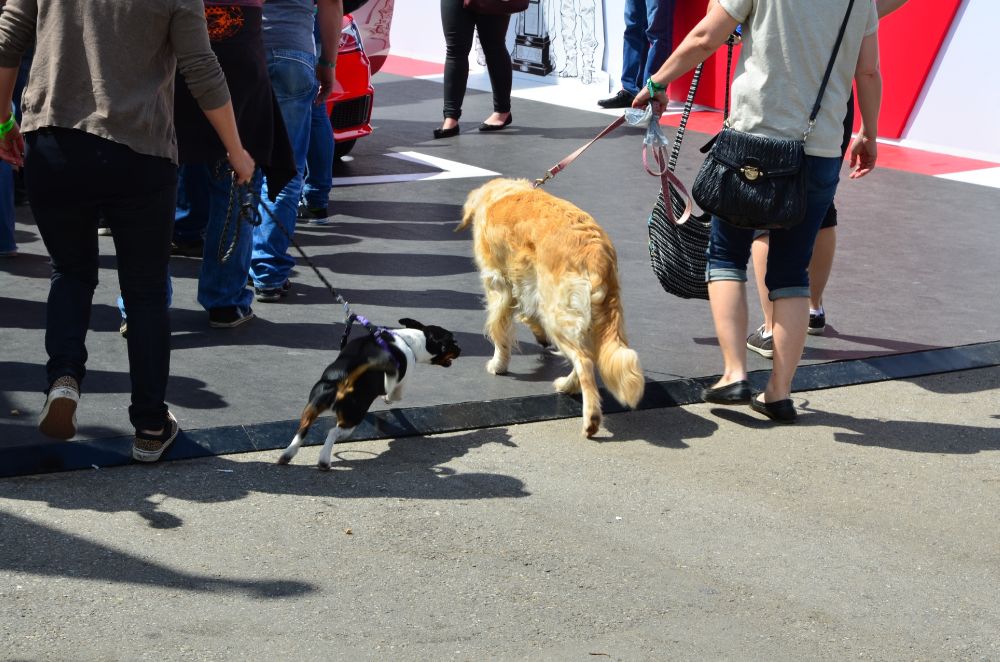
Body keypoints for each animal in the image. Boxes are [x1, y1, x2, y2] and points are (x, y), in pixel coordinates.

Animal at [276, 320, 458, 470]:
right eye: (453, 342)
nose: (461, 349)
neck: (411, 341)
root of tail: (344, 381)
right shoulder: (400, 386)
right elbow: (393, 397)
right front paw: (386, 399)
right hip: (353, 418)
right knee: (332, 432)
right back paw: (324, 461)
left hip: (312, 407)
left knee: (302, 430)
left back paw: (287, 455)